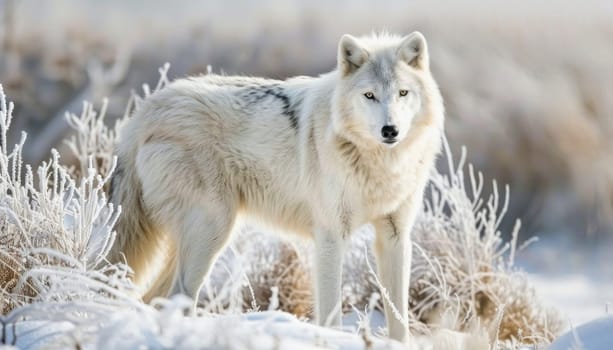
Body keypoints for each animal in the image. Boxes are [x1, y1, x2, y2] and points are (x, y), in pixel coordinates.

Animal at [110, 31, 442, 344]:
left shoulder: (395, 235)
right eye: (369, 95)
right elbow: (330, 313)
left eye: (402, 93)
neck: (381, 164)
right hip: (213, 230)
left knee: (154, 298)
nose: (390, 130)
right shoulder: (331, 235)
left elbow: (398, 318)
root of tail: (147, 110)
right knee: (178, 297)